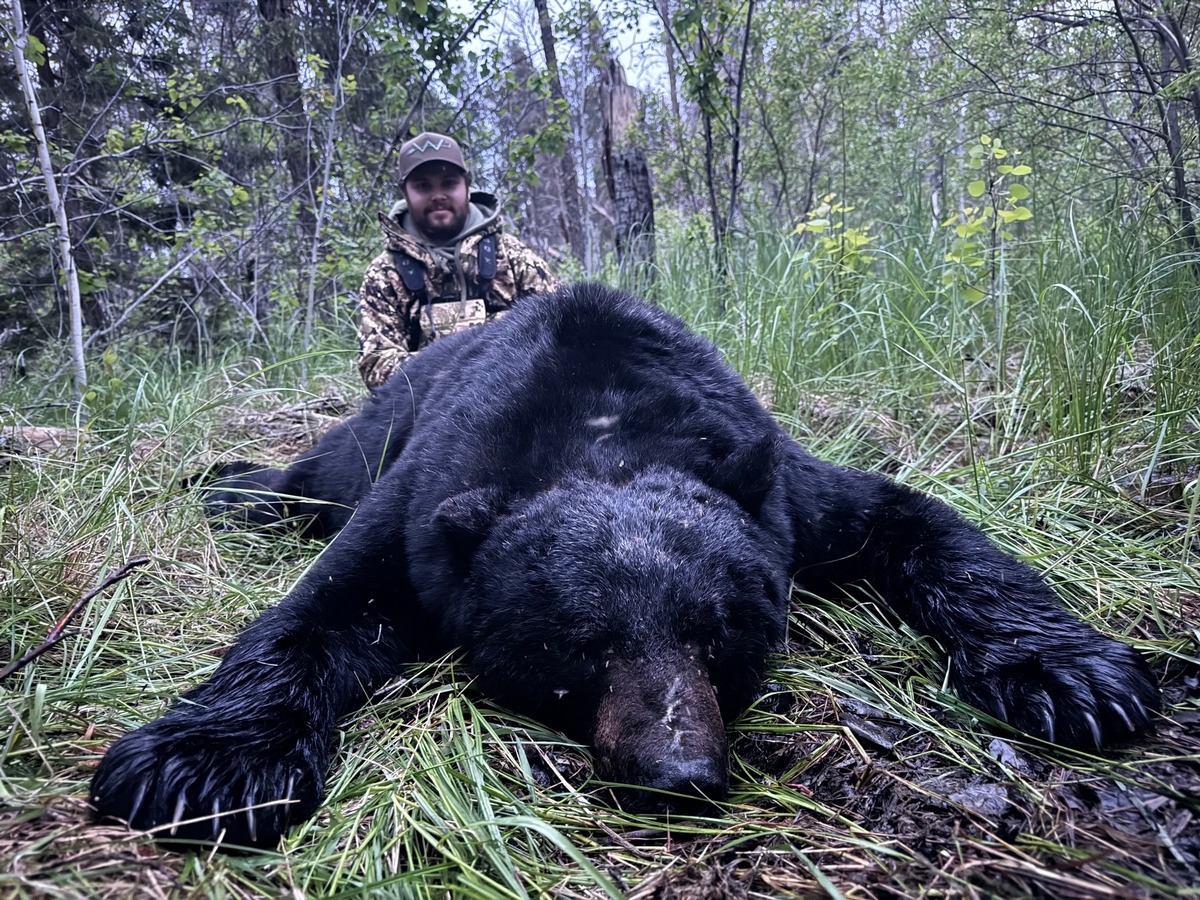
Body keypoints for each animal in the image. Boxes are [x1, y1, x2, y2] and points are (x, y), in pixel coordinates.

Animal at [91, 284, 1160, 848]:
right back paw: (229, 487)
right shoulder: (423, 502)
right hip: (376, 428)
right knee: (316, 478)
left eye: (721, 633)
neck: (600, 436)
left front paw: (1072, 674)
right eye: (580, 646)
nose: (677, 772)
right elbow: (316, 608)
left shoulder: (774, 482)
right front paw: (206, 765)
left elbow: (924, 525)